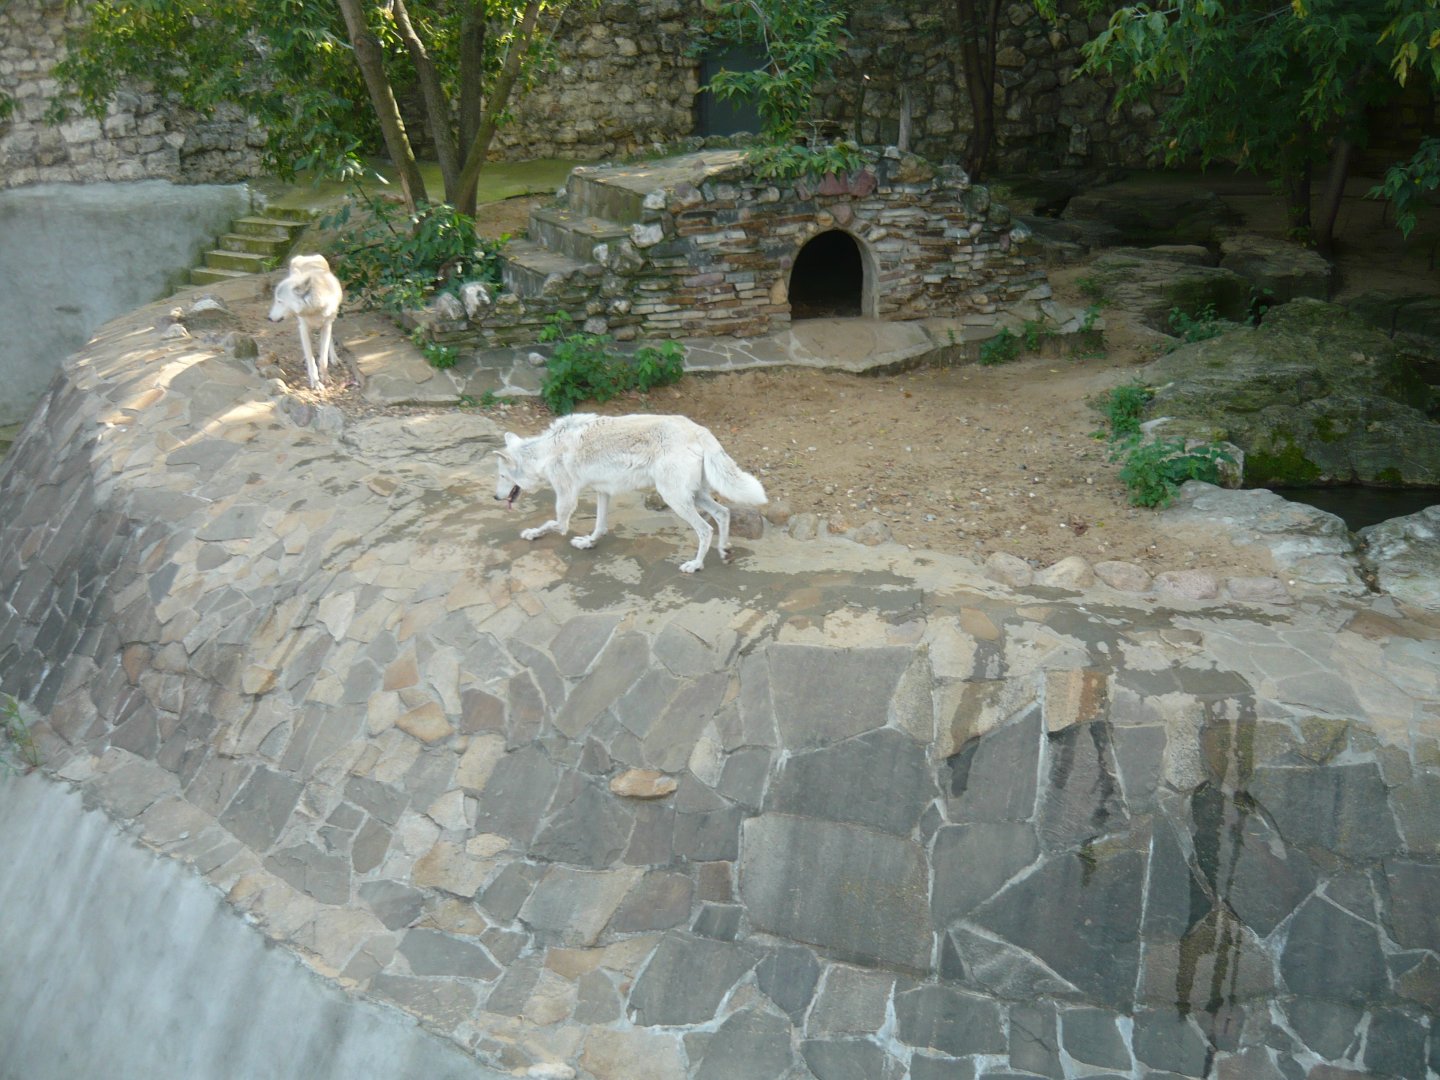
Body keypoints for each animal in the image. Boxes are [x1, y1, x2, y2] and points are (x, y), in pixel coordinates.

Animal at [268, 253, 343, 390]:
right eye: (276, 300)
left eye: (279, 301)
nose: (269, 318)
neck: (314, 309)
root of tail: (308, 256)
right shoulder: (303, 328)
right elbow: (311, 358)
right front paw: (316, 382)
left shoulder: (326, 326)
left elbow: (323, 359)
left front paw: (325, 378)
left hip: (331, 321)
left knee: (329, 340)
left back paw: (334, 358)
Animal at [494, 413, 768, 573]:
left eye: (501, 476)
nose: (495, 498)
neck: (546, 452)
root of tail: (699, 429)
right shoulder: (602, 491)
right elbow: (600, 526)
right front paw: (588, 542)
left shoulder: (567, 501)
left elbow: (554, 524)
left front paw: (531, 533)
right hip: (694, 496)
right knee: (723, 513)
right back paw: (725, 552)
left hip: (675, 499)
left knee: (706, 529)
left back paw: (696, 565)